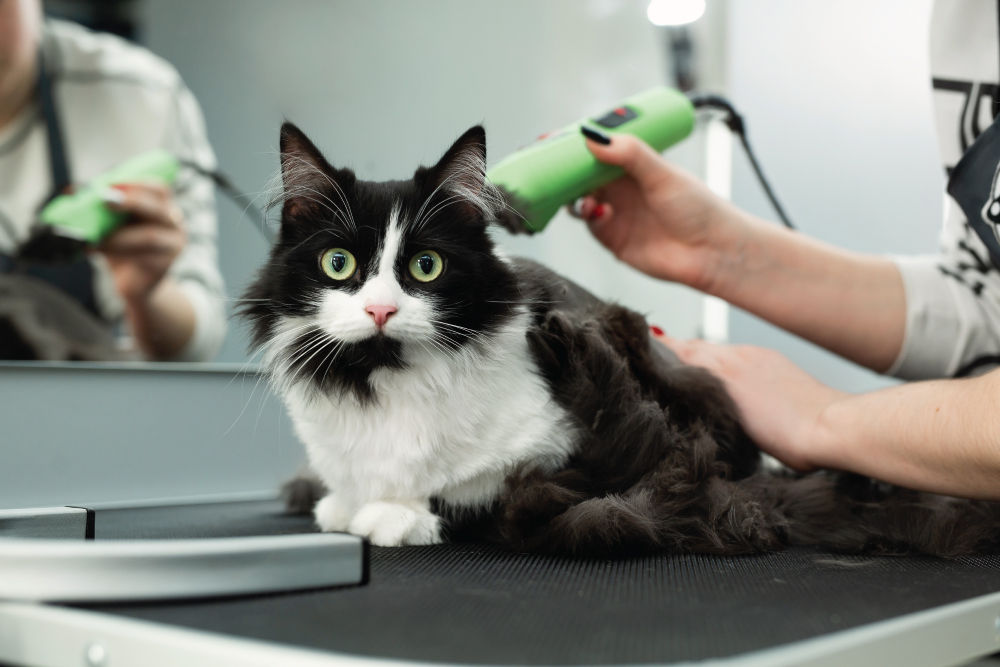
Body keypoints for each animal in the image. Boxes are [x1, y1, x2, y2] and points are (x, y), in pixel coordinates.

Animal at [244, 121, 1000, 560]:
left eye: (425, 266)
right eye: (338, 264)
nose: (379, 309)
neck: (383, 377)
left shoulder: (553, 462)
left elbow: (480, 500)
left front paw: (392, 516)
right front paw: (343, 504)